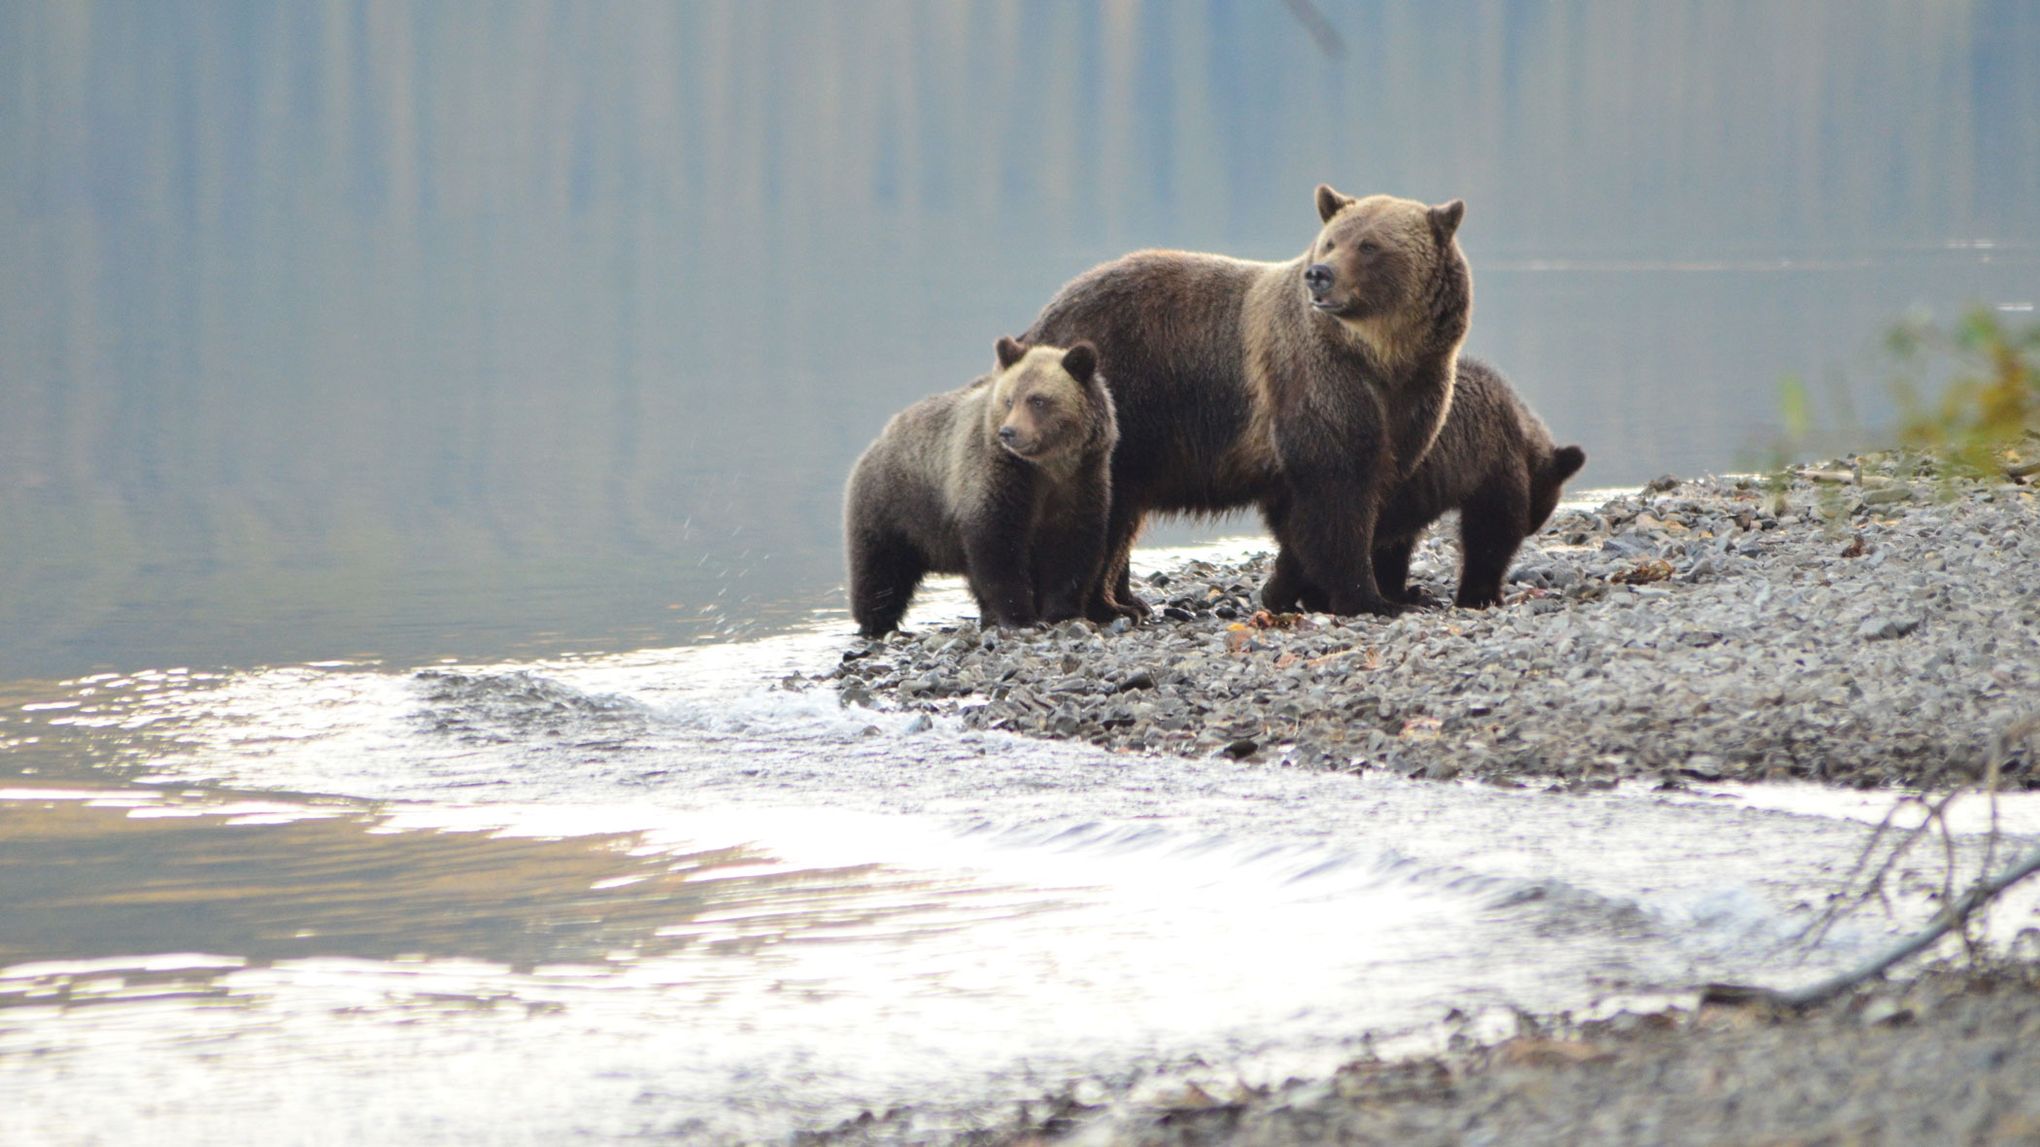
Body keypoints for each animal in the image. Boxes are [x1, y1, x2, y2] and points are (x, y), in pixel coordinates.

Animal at [840, 336, 1117, 632]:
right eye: (1009, 400)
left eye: (1038, 400)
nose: (1009, 432)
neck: (1047, 467)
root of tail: (879, 440)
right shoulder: (1001, 477)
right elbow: (997, 545)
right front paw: (1019, 616)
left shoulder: (1080, 480)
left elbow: (1071, 546)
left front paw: (1062, 611)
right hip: (894, 508)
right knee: (880, 573)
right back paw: (876, 622)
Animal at [1028, 183, 1476, 620]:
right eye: (1330, 241)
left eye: (1369, 245)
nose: (1320, 275)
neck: (1382, 358)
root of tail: (1046, 316)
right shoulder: (1317, 382)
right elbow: (1336, 496)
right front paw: (1367, 597)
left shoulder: (1413, 396)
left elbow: (1363, 495)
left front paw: (1296, 588)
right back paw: (1102, 605)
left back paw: (1124, 599)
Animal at [1264, 357, 1583, 612]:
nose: (1532, 528)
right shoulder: (1493, 463)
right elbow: (1492, 531)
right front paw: (1481, 595)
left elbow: (1393, 547)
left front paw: (1405, 590)